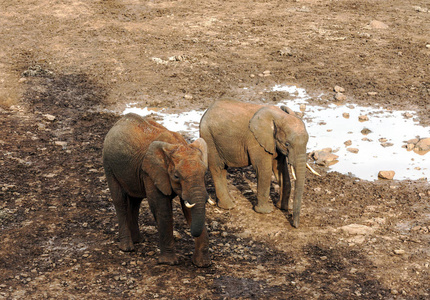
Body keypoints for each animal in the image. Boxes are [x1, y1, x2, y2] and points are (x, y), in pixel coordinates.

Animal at [104, 113, 212, 268]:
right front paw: (169, 262)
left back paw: (138, 240)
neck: (177, 145)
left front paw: (202, 264)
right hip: (109, 164)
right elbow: (162, 209)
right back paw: (127, 248)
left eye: (205, 174)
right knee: (120, 201)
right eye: (176, 176)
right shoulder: (151, 172)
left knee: (135, 201)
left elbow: (189, 207)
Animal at [200, 98, 308, 227]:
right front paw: (266, 211)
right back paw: (229, 206)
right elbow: (264, 170)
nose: (294, 225)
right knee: (218, 168)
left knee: (223, 169)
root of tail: (206, 111)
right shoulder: (256, 141)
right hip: (209, 139)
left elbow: (281, 169)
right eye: (287, 144)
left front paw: (283, 208)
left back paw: (230, 201)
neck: (278, 116)